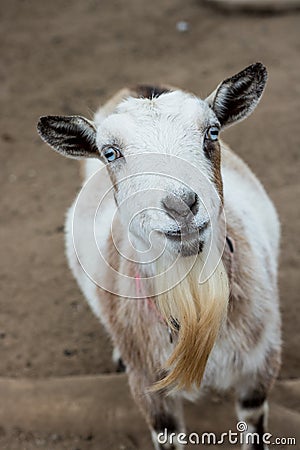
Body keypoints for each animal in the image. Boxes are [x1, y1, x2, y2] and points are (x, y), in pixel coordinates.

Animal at [37, 63, 282, 450]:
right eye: (110, 152)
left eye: (212, 132)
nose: (181, 205)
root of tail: (136, 85)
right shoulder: (150, 390)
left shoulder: (259, 369)